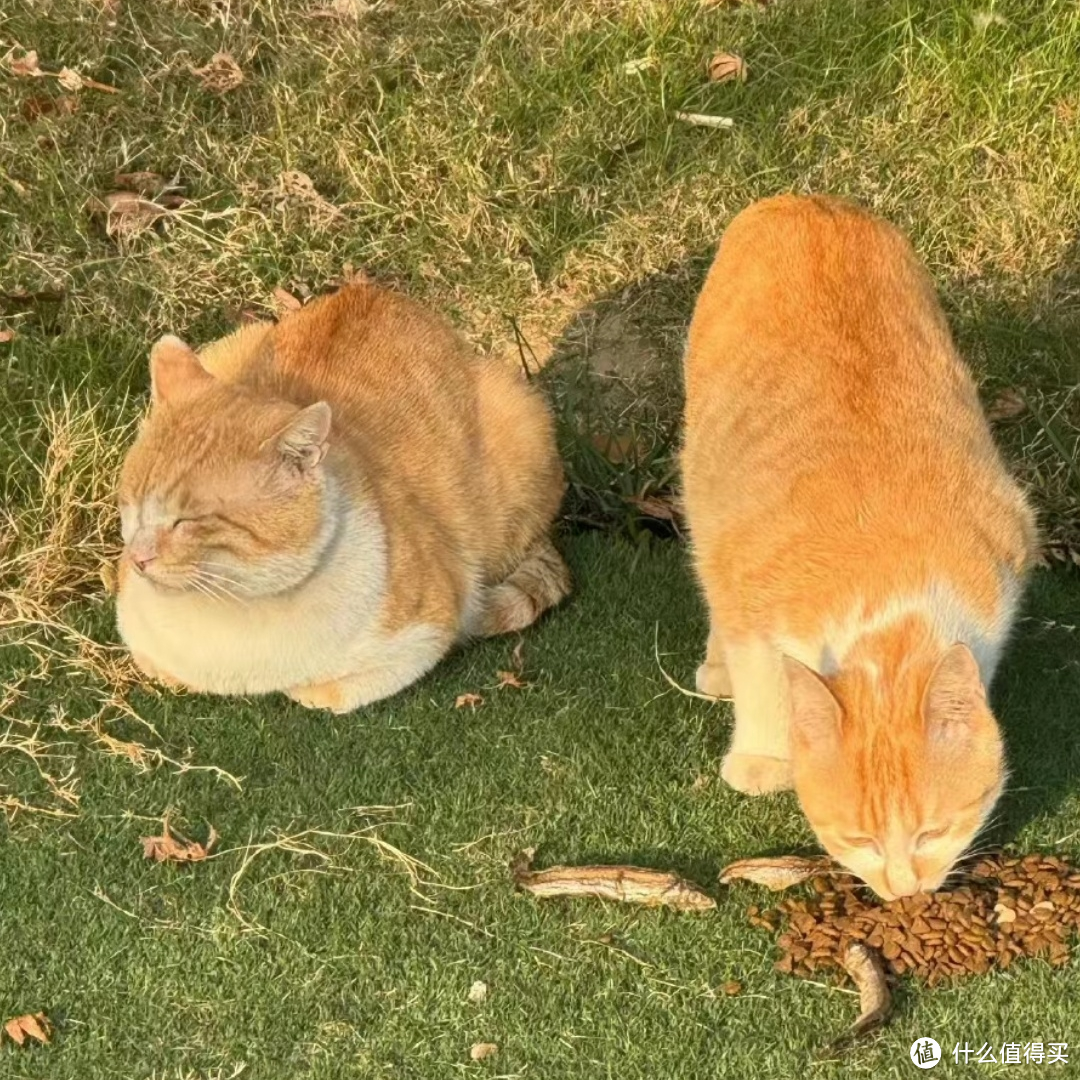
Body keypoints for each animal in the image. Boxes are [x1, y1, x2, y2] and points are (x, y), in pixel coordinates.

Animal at [117, 282, 570, 712]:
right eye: (131, 501)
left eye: (188, 520)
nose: (138, 558)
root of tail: (370, 290)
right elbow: (156, 663)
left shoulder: (432, 625)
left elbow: (333, 692)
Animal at [682, 196, 1036, 902]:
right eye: (860, 841)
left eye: (933, 833)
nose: (903, 891)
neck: (890, 593)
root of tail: (801, 198)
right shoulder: (750, 588)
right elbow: (761, 675)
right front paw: (765, 753)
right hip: (702, 476)